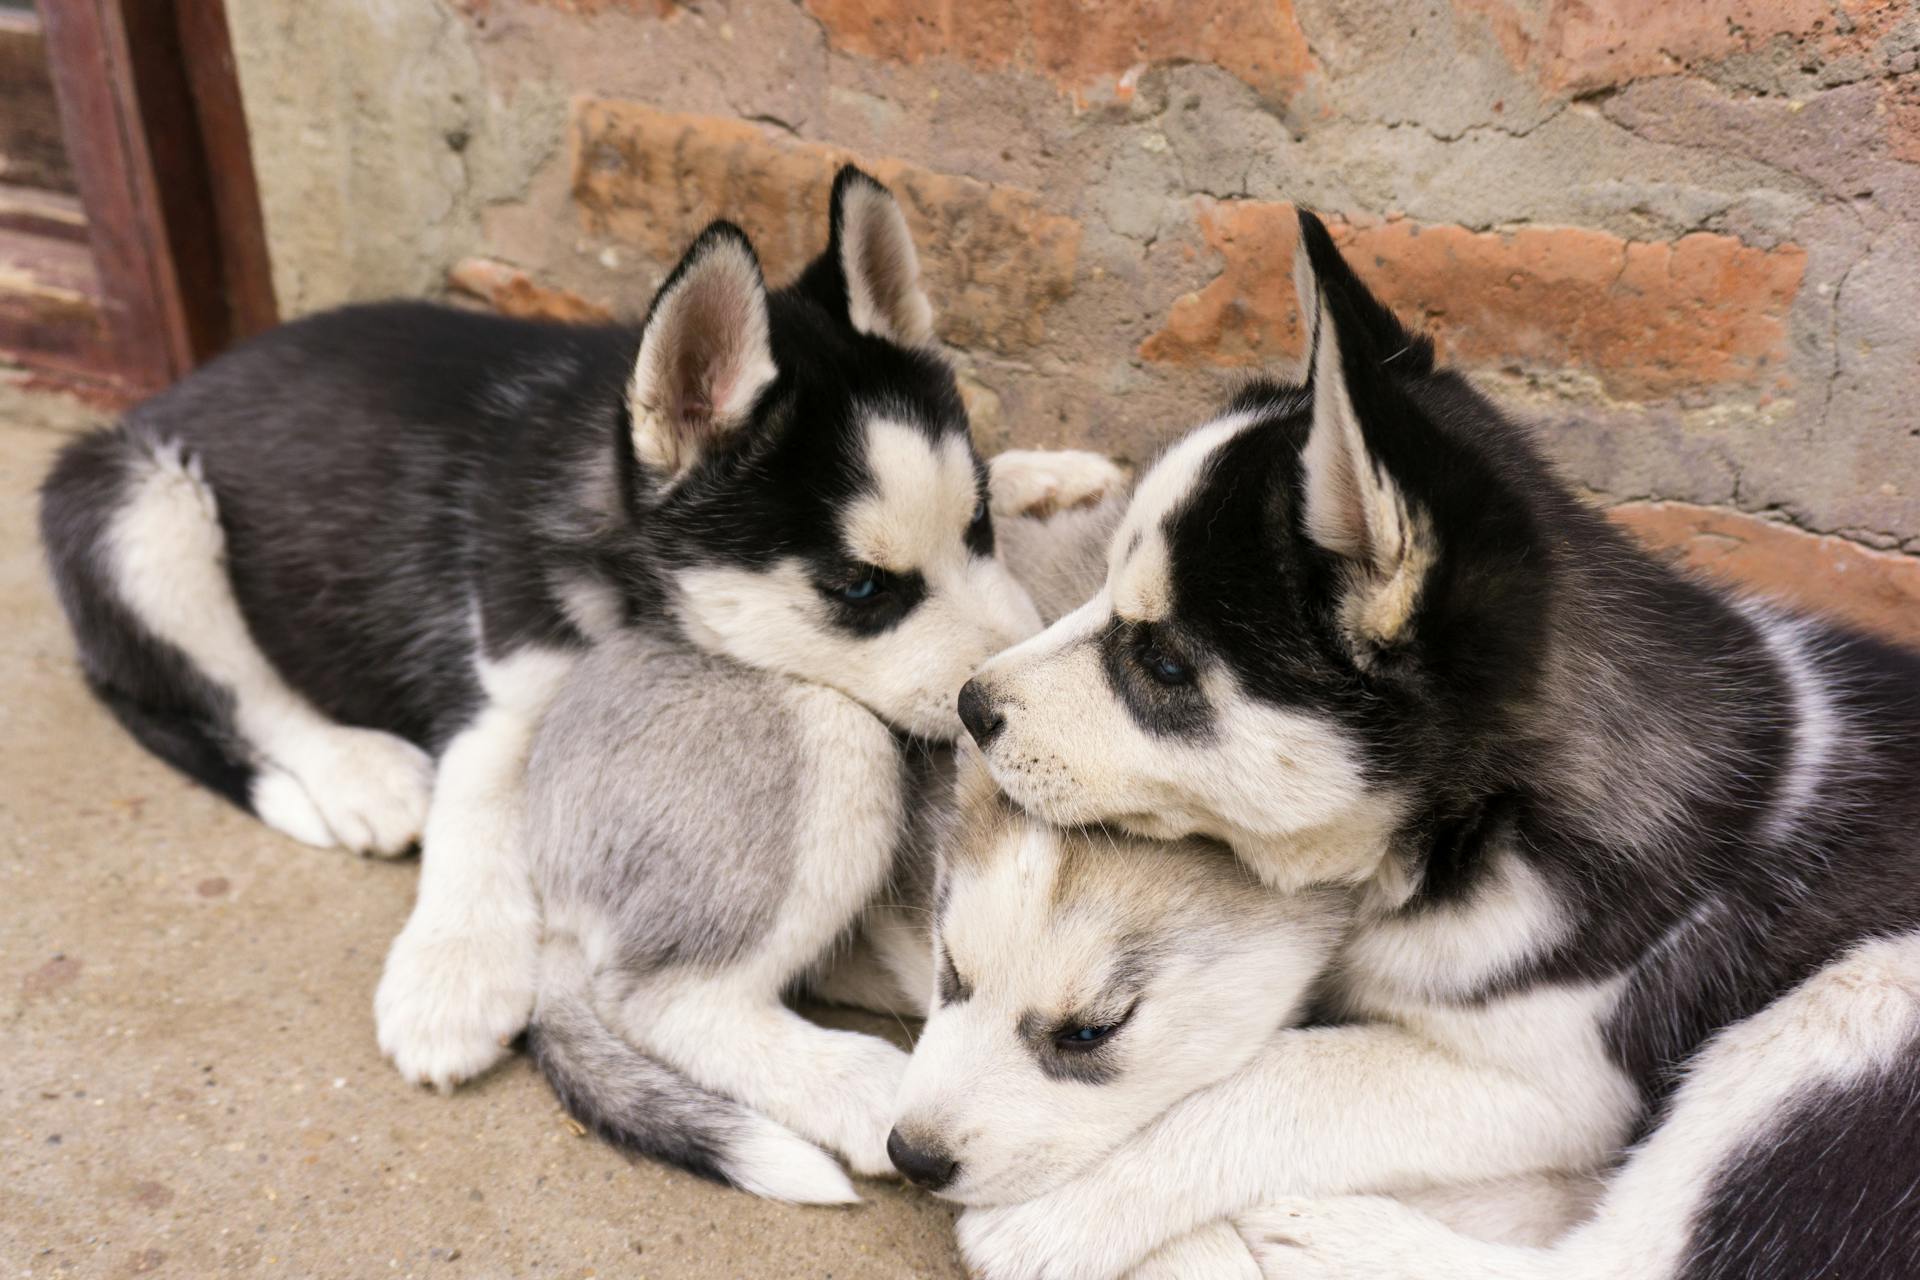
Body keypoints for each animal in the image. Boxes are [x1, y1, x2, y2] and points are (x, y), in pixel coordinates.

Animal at [33, 167, 1052, 1090]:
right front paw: (451, 972)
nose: (989, 702)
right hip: (144, 507)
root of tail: (162, 397)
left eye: (980, 528)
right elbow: (478, 798)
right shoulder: (507, 676)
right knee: (243, 688)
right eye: (858, 588)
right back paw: (359, 772)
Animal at [960, 210, 1920, 1280]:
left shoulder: (1558, 1083)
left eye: (1163, 663)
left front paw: (1057, 1205)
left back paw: (1328, 1231)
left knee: (1624, 1260)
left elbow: (1289, 1071)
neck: (1481, 826)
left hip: (1869, 992)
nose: (971, 704)